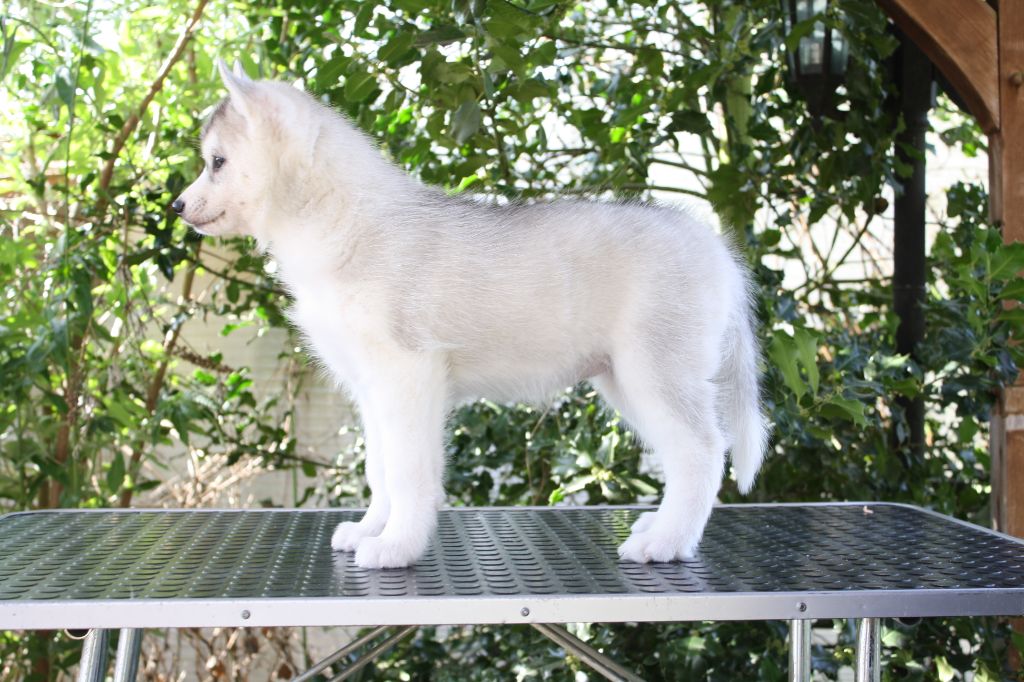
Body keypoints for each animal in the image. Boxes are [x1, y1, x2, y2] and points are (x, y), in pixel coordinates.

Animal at [172, 61, 769, 569]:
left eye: (216, 162)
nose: (176, 206)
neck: (339, 222)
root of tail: (715, 246)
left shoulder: (410, 376)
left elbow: (408, 472)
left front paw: (397, 547)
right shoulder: (373, 389)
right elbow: (380, 468)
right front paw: (371, 529)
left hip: (655, 372)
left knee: (702, 452)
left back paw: (666, 543)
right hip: (625, 381)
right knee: (683, 454)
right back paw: (658, 529)